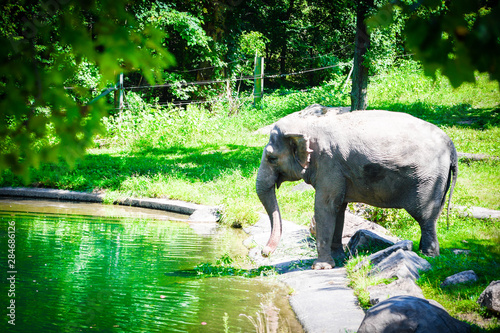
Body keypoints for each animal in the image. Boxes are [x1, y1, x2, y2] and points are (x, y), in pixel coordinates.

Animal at [258, 107, 458, 268]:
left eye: (272, 158)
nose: (264, 252)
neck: (309, 124)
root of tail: (451, 145)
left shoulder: (329, 164)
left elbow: (324, 206)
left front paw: (320, 267)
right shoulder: (336, 171)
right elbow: (338, 208)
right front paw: (339, 259)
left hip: (428, 179)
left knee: (425, 217)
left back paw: (428, 257)